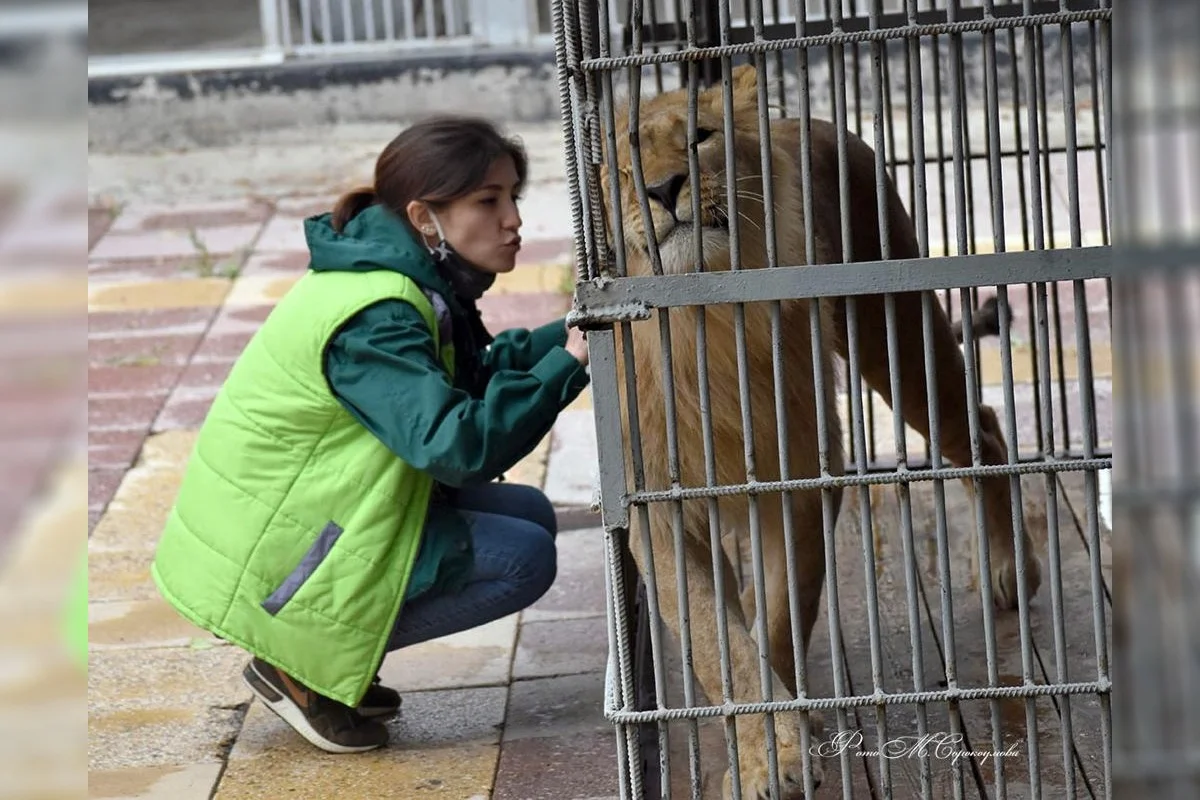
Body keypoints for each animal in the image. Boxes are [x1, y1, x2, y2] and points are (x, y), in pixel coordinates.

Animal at [600, 65, 1041, 796]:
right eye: (626, 168)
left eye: (701, 137)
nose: (663, 188)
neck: (702, 323)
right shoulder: (656, 509)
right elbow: (720, 644)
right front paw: (764, 755)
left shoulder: (804, 478)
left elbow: (778, 624)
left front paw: (784, 746)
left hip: (896, 329)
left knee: (978, 429)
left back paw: (1013, 568)